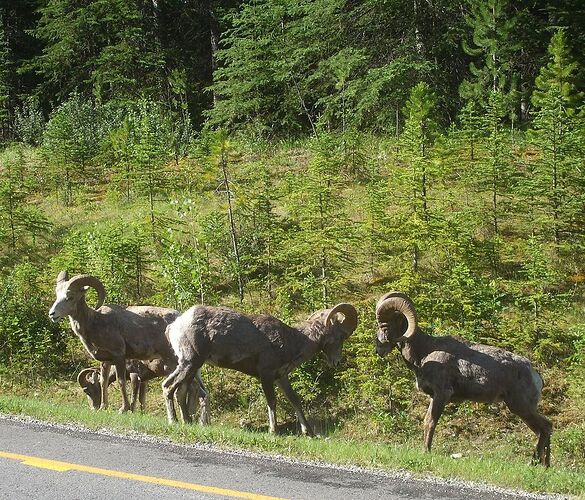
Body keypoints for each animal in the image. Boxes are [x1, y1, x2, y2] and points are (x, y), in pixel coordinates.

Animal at [49, 272, 208, 420]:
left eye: (70, 297)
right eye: (57, 294)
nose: (52, 314)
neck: (95, 322)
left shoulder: (120, 357)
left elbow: (121, 382)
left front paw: (123, 409)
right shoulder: (106, 361)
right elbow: (103, 382)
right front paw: (102, 408)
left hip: (177, 363)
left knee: (193, 389)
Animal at [162, 300, 358, 434]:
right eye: (342, 336)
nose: (337, 362)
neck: (292, 341)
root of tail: (173, 327)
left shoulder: (281, 377)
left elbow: (294, 400)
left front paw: (308, 432)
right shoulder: (266, 375)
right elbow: (272, 401)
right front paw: (274, 431)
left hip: (191, 367)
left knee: (180, 391)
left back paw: (187, 422)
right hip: (190, 363)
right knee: (168, 387)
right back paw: (173, 421)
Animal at [374, 292, 552, 466]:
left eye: (385, 326)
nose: (378, 349)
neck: (424, 353)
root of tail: (535, 375)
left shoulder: (442, 394)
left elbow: (430, 422)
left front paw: (426, 452)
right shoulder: (434, 397)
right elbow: (426, 421)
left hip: (520, 406)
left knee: (545, 426)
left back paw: (535, 463)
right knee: (542, 429)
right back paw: (544, 465)